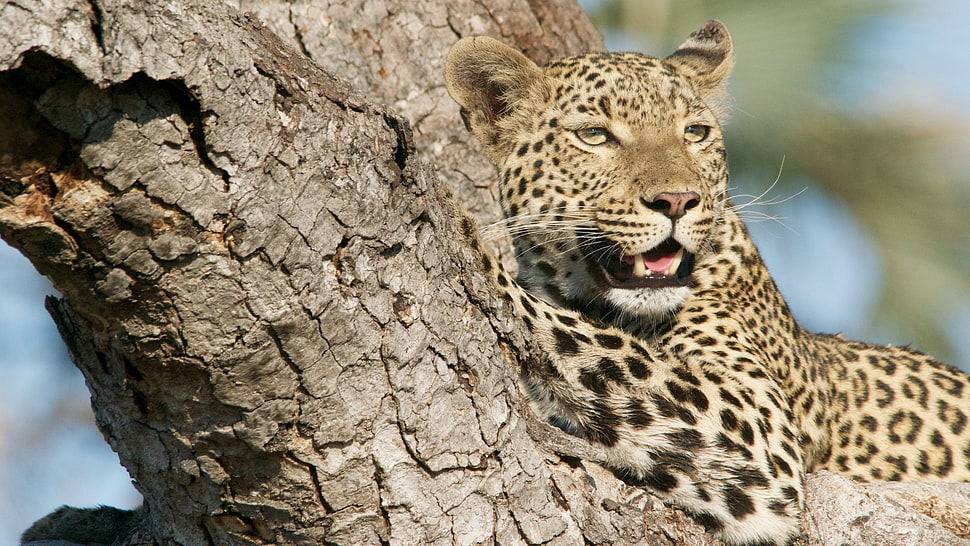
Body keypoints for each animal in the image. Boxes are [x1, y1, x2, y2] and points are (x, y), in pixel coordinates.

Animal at [445, 19, 970, 545]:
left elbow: (583, 336)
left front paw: (452, 220)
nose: (677, 200)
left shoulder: (759, 435)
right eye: (595, 135)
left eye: (694, 133)